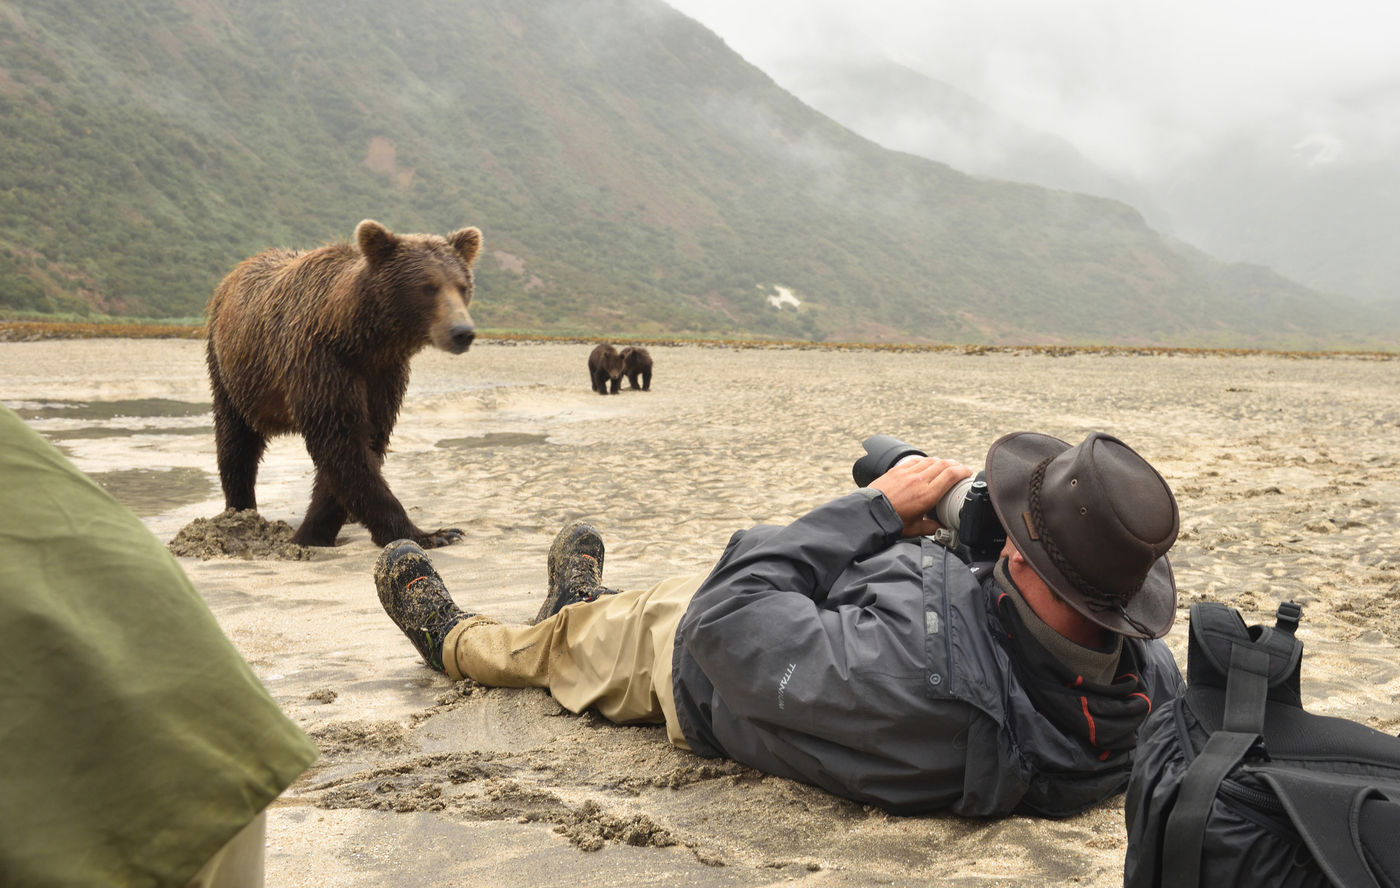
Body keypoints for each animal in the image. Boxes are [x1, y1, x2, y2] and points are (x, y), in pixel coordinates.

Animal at [203, 218, 484, 546]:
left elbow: (368, 439)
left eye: (463, 286)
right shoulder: (321, 362)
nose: (462, 332)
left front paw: (317, 528)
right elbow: (342, 443)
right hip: (234, 372)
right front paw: (431, 534)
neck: (361, 338)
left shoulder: (383, 374)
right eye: (428, 287)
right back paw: (240, 511)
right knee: (236, 440)